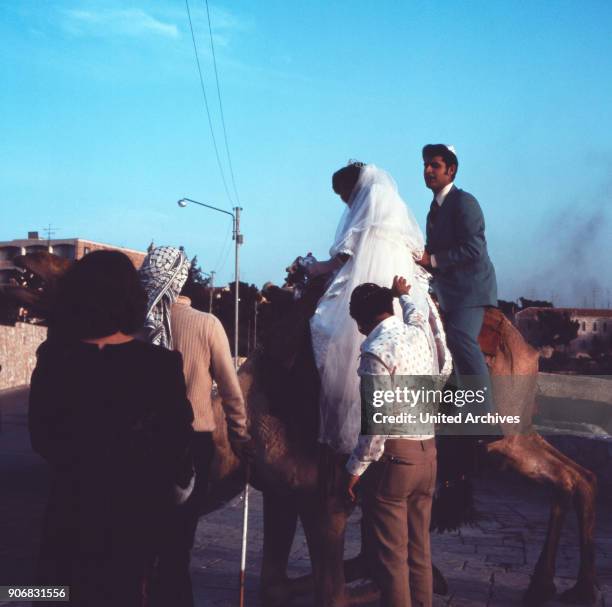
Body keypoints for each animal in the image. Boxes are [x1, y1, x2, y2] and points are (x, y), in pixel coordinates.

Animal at [8, 252, 596, 607]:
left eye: (80, 275)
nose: (23, 262)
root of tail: (527, 344)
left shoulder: (324, 499)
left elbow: (329, 590)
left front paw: (387, 579)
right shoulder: (281, 493)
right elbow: (274, 583)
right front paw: (386, 573)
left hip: (503, 435)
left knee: (567, 477)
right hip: (512, 438)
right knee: (576, 477)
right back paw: (556, 586)